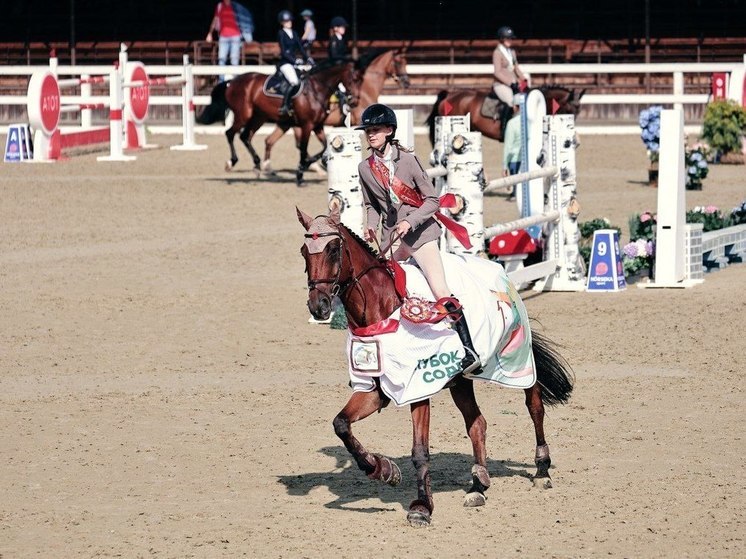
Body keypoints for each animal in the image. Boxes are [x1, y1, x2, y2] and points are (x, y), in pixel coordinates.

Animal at [296, 208, 568, 528]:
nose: (319, 306)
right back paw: (478, 487)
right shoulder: (375, 391)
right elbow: (341, 424)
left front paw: (421, 507)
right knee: (477, 424)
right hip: (461, 381)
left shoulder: (418, 388)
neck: (382, 310)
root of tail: (500, 272)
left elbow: (420, 452)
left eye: (333, 248)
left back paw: (542, 470)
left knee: (534, 406)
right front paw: (383, 470)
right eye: (304, 252)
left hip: (519, 362)